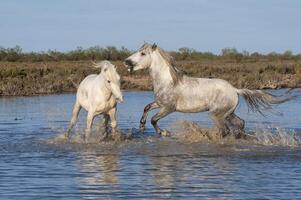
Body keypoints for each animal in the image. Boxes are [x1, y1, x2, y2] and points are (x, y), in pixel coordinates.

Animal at [123, 43, 292, 138]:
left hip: (217, 114)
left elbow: (154, 119)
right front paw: (141, 127)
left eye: (143, 53)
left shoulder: (169, 108)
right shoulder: (159, 103)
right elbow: (146, 108)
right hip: (228, 113)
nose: (126, 62)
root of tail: (235, 90)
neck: (168, 81)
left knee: (225, 130)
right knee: (240, 123)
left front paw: (164, 133)